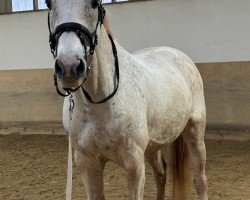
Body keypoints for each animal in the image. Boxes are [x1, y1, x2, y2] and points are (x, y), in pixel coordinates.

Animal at [46, 0, 208, 199]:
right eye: (48, 4)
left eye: (94, 3)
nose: (69, 66)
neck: (99, 103)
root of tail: (180, 56)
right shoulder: (87, 164)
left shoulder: (134, 165)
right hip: (153, 146)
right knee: (161, 173)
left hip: (195, 132)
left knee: (200, 179)